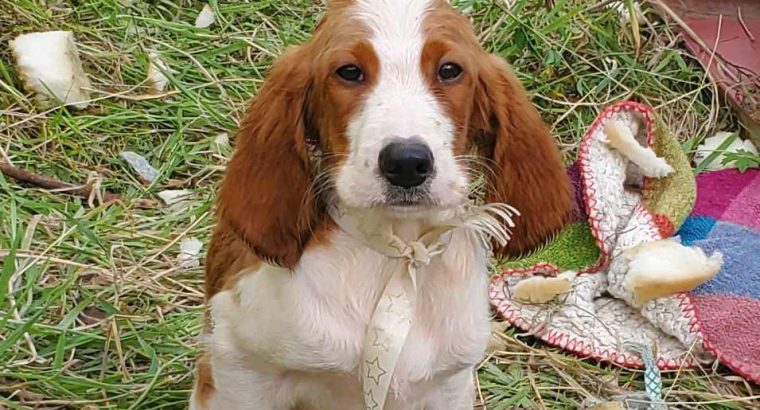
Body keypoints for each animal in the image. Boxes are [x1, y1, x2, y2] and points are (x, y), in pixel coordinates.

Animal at [190, 0, 568, 410]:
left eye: (450, 70)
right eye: (349, 72)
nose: (406, 163)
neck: (396, 255)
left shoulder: (449, 387)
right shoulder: (238, 369)